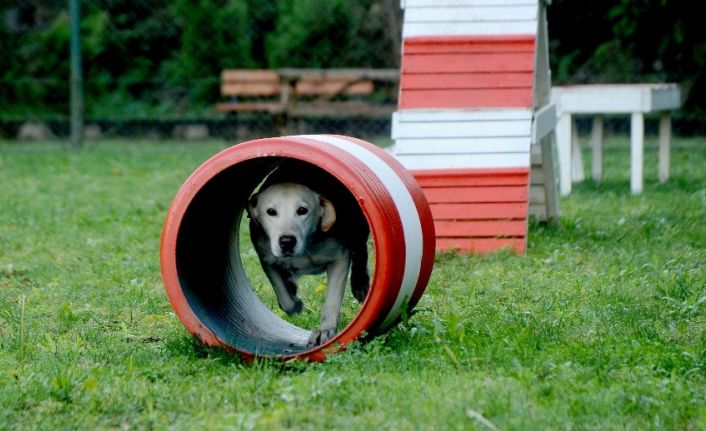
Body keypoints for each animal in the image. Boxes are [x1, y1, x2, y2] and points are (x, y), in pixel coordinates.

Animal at [248, 162, 368, 348]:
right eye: (271, 211)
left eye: (302, 210)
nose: (287, 241)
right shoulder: (267, 258)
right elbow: (284, 296)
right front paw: (294, 302)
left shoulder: (340, 257)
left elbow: (332, 301)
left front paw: (325, 331)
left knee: (361, 251)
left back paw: (360, 284)